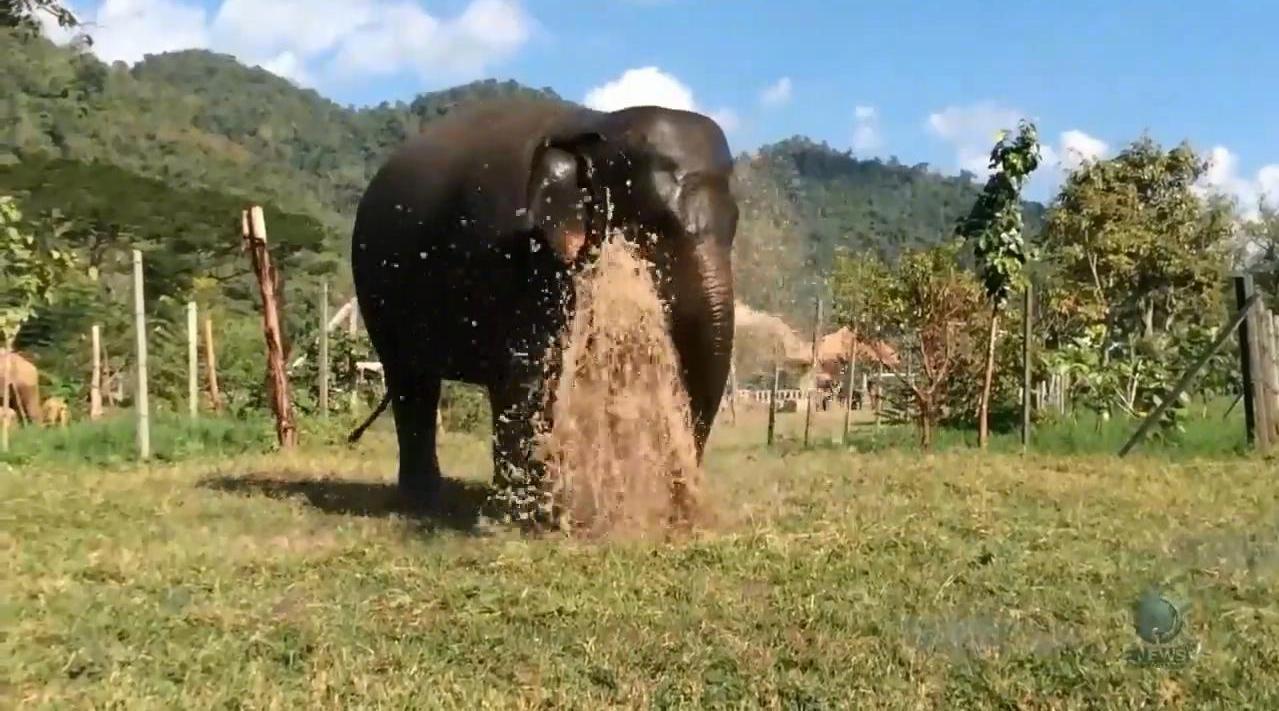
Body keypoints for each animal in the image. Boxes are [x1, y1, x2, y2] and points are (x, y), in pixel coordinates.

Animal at [348, 97, 739, 521]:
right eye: (656, 228)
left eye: (735, 224)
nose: (685, 506)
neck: (597, 125)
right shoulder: (513, 250)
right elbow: (534, 369)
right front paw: (532, 515)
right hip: (376, 288)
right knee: (413, 382)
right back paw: (425, 501)